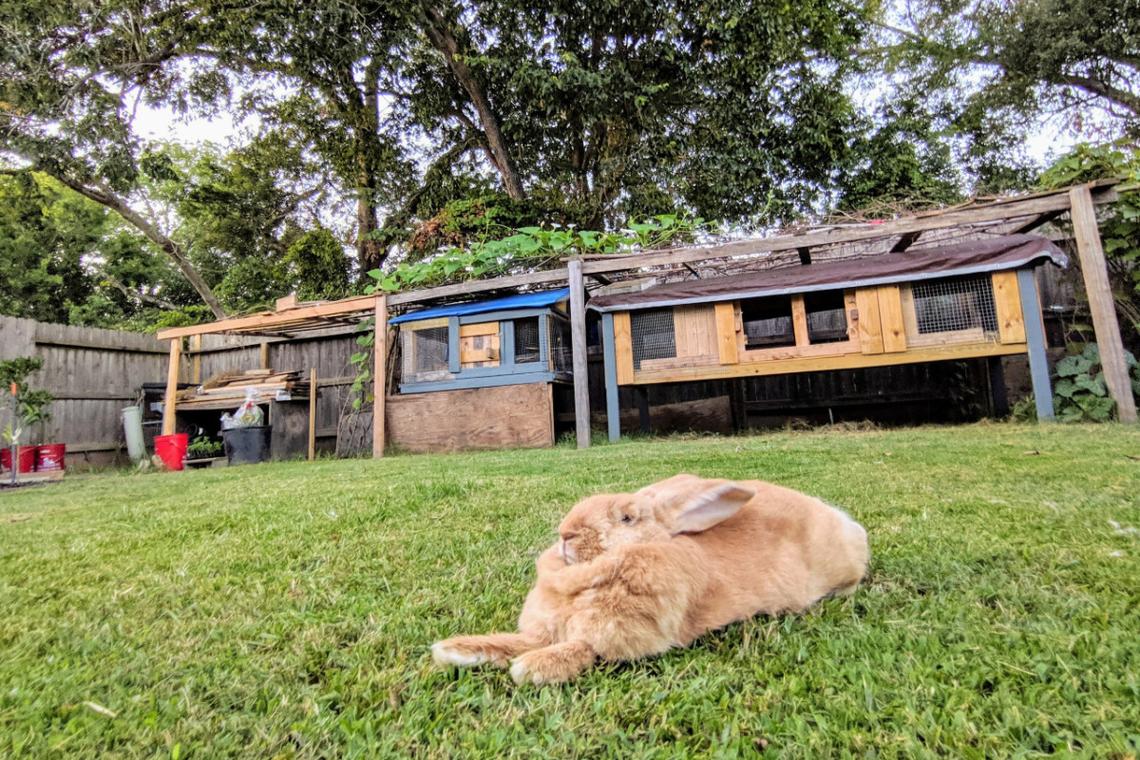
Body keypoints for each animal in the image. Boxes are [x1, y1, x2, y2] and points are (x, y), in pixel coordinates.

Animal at [431, 474, 869, 685]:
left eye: (627, 518)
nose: (565, 534)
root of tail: (843, 521)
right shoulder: (542, 629)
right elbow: (513, 641)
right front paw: (455, 649)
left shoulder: (614, 639)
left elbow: (578, 649)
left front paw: (531, 669)